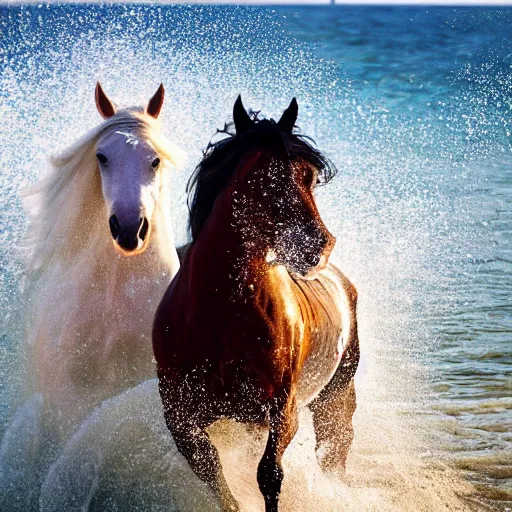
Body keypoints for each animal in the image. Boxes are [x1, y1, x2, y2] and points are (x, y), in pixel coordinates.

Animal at [153, 97, 360, 512]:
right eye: (265, 178)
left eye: (310, 176)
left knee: (334, 451)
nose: (320, 245)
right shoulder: (180, 416)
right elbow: (213, 473)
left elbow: (269, 475)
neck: (219, 313)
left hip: (335, 398)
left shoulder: (281, 408)